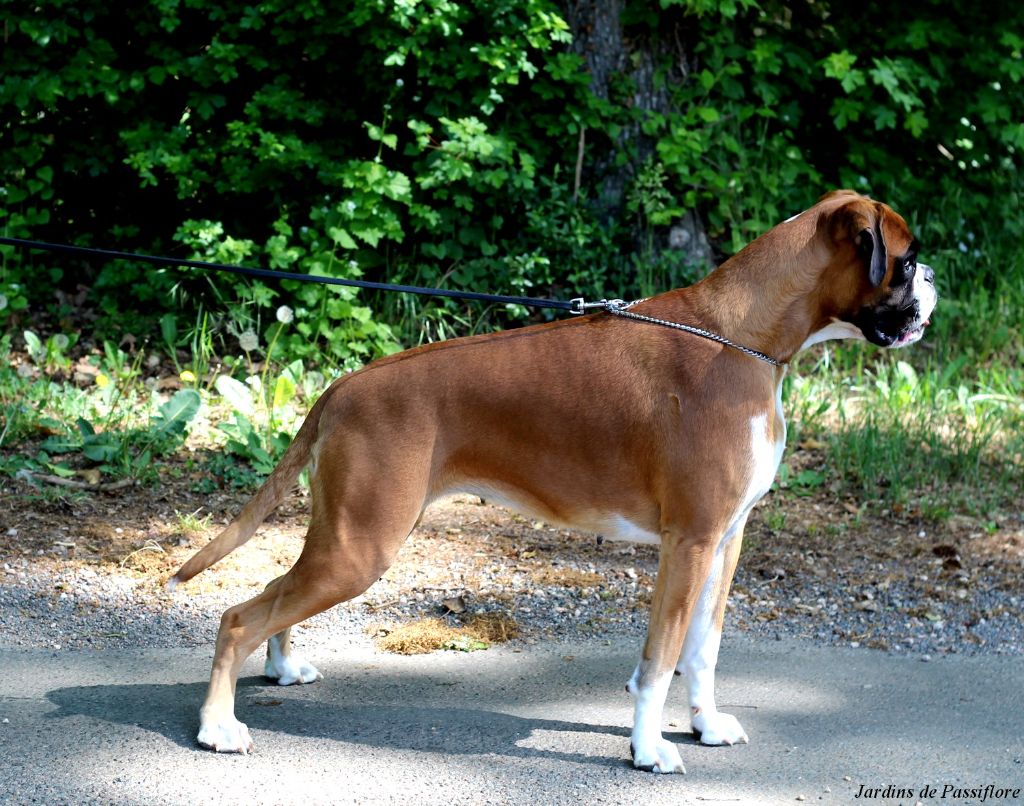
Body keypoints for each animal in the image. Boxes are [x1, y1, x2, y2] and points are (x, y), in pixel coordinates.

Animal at [169, 190, 937, 774]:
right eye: (904, 259)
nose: (932, 278)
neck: (742, 339)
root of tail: (345, 385)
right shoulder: (689, 544)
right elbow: (661, 657)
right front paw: (648, 749)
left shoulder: (726, 542)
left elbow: (702, 651)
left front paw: (706, 725)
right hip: (360, 547)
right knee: (239, 615)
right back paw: (217, 726)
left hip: (347, 538)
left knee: (273, 595)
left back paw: (280, 669)